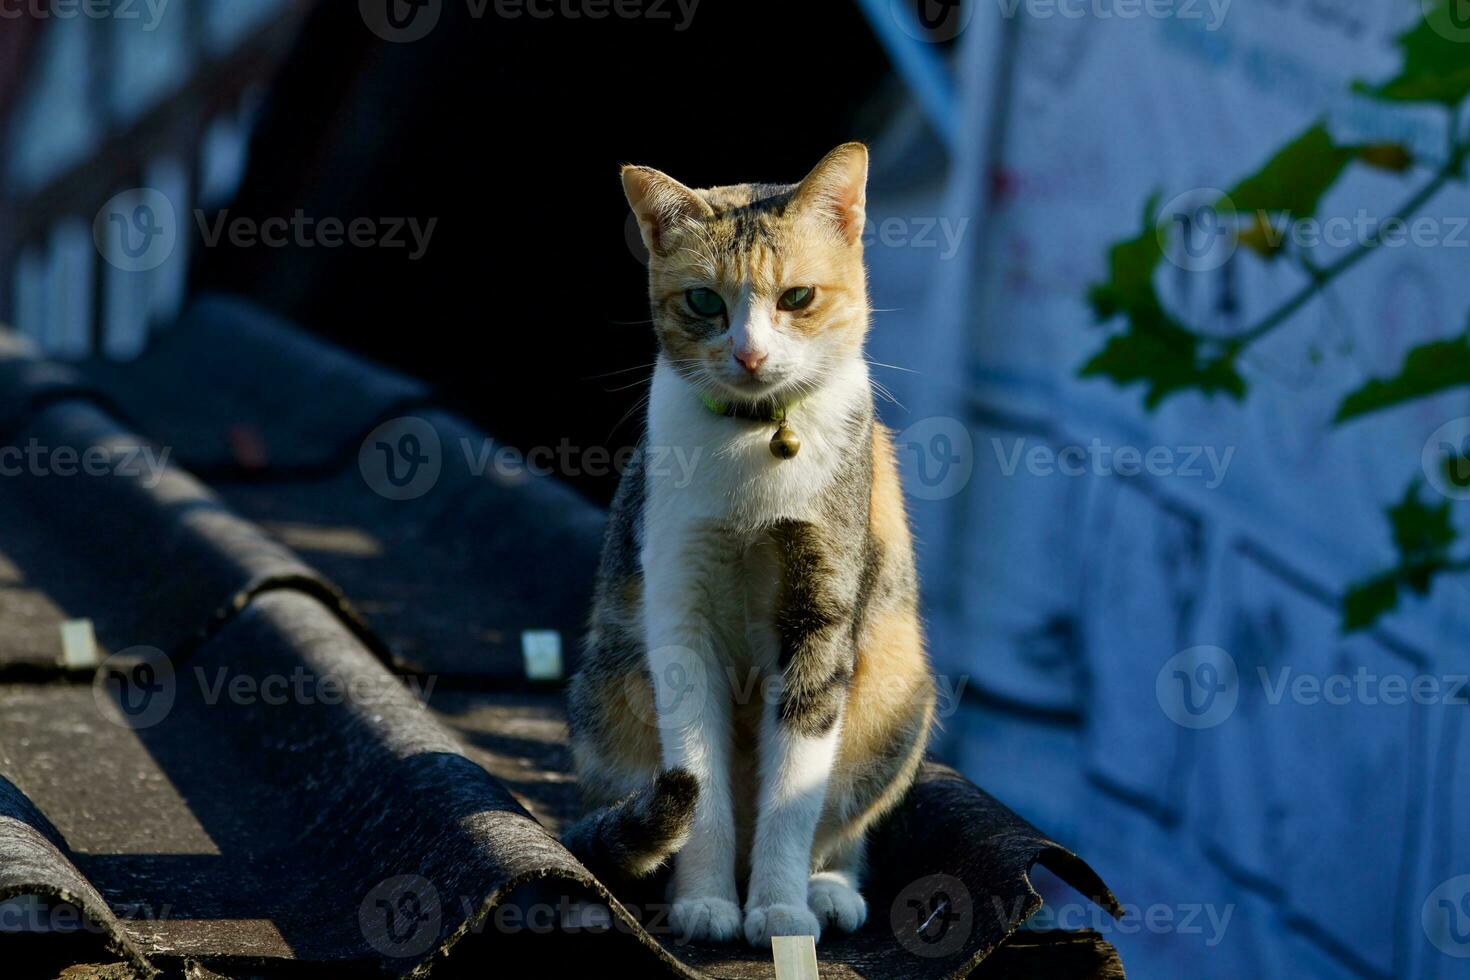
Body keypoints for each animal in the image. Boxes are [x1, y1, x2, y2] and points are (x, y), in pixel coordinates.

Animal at [561, 141, 929, 946]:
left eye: (797, 297)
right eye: (705, 302)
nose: (752, 356)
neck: (758, 445)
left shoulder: (822, 615)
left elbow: (794, 789)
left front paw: (780, 912)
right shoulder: (678, 612)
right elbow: (699, 783)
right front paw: (705, 904)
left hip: (896, 689)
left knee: (838, 821)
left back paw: (829, 889)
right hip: (606, 691)